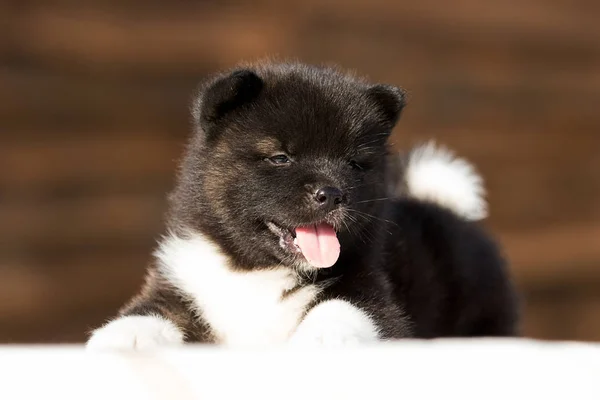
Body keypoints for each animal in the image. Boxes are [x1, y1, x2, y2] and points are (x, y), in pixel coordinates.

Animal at [85, 61, 520, 348]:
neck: (257, 271)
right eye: (281, 158)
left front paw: (321, 337)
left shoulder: (375, 294)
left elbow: (344, 309)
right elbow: (153, 311)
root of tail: (441, 203)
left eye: (354, 163)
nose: (333, 194)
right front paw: (122, 337)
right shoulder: (183, 284)